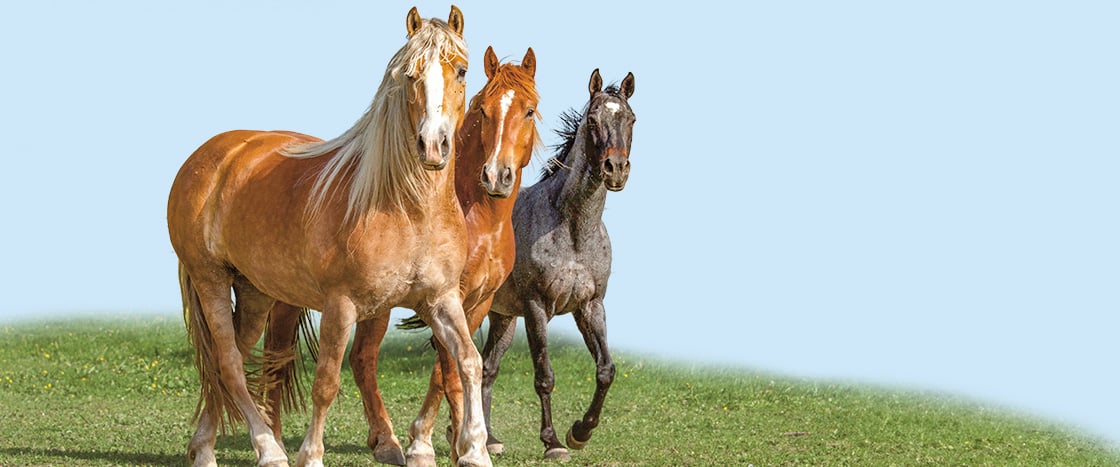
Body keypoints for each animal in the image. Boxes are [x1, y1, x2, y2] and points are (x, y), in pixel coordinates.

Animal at [164, 6, 490, 465]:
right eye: (409, 75)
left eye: (461, 71)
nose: (432, 145)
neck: (407, 209)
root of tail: (207, 157)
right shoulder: (341, 305)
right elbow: (326, 383)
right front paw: (311, 455)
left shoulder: (440, 299)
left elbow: (468, 361)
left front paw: (476, 449)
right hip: (210, 278)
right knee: (228, 364)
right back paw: (268, 449)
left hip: (254, 292)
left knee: (232, 362)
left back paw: (205, 448)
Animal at [263, 44, 542, 465]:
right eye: (482, 110)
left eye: (528, 110)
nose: (497, 175)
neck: (478, 217)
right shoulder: (449, 296)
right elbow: (446, 371)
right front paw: (430, 442)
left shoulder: (477, 301)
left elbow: (454, 368)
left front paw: (457, 439)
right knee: (293, 357)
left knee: (357, 359)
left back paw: (382, 440)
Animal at [483, 69, 636, 459]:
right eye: (593, 120)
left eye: (630, 119)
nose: (616, 169)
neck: (572, 230)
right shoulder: (537, 307)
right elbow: (544, 376)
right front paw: (552, 442)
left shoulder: (590, 306)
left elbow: (606, 369)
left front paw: (580, 432)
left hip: (502, 318)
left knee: (485, 368)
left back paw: (488, 439)